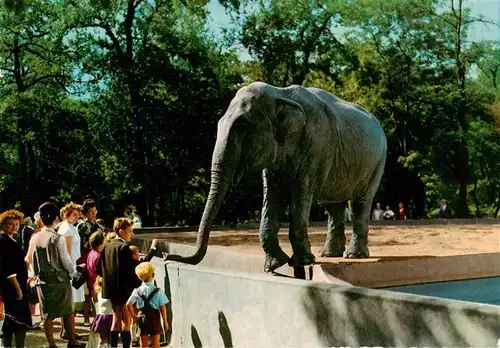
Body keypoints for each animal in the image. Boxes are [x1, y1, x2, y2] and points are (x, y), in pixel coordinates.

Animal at [166, 82, 388, 274]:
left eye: (243, 127)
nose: (168, 256)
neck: (279, 94)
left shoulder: (314, 148)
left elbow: (300, 196)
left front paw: (303, 261)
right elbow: (271, 198)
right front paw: (274, 265)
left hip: (376, 162)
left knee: (359, 203)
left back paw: (353, 256)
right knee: (333, 207)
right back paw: (329, 255)